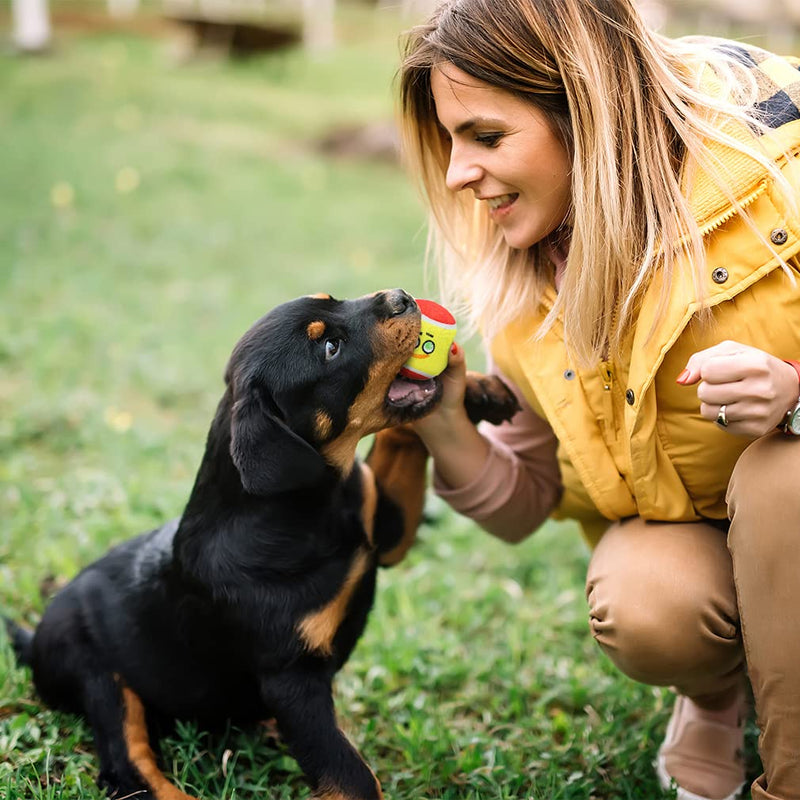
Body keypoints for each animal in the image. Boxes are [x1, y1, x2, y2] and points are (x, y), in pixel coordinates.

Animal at [4, 290, 520, 800]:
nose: (401, 297)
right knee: (128, 768)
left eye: (333, 299)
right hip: (98, 675)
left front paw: (477, 389)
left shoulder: (385, 530)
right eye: (329, 348)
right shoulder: (291, 679)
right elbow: (352, 777)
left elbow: (403, 436)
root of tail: (34, 640)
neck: (308, 506)